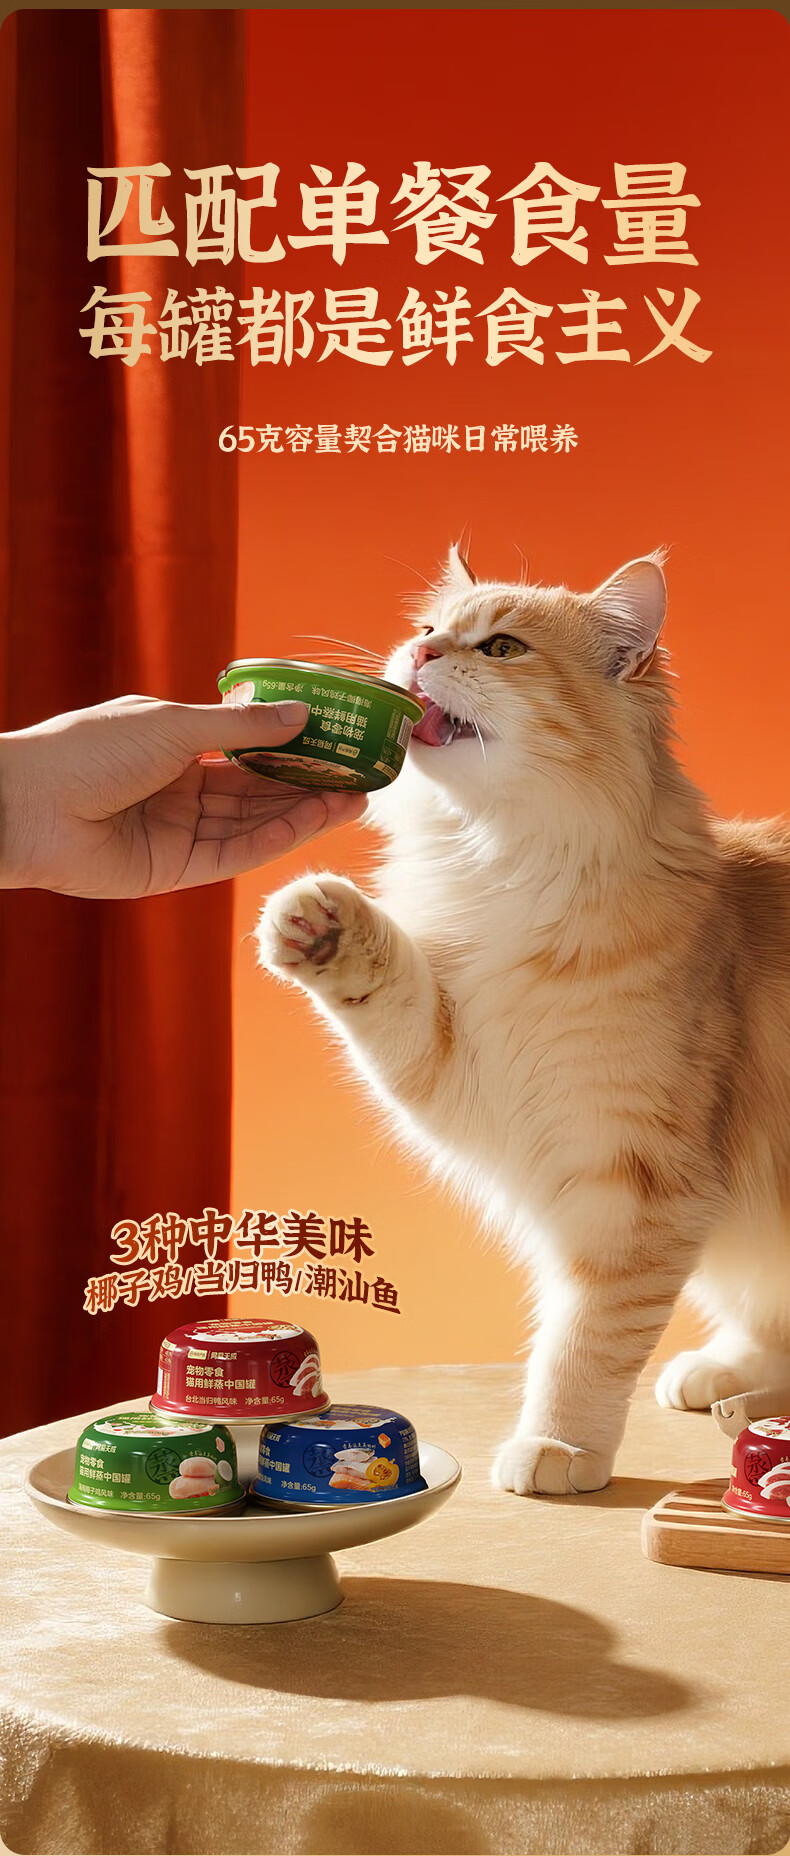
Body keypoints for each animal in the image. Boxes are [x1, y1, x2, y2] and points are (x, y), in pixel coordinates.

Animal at [257, 545, 790, 1495]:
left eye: (502, 648)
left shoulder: (632, 1181)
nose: (422, 653)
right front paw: (318, 925)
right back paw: (719, 1378)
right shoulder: (467, 1069)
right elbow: (393, 992)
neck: (502, 869)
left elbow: (584, 1341)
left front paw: (559, 1448)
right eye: (429, 627)